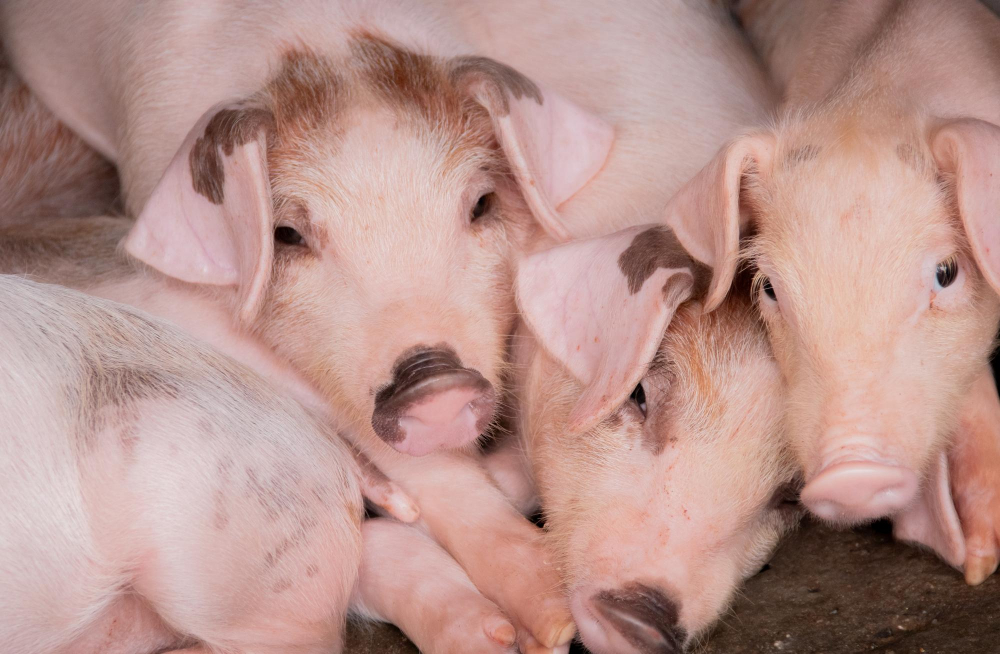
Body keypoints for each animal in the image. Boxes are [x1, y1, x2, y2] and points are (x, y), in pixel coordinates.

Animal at [661, 0, 1000, 584]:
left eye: (947, 272)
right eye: (770, 288)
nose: (851, 475)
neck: (877, 97)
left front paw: (980, 566)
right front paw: (980, 562)